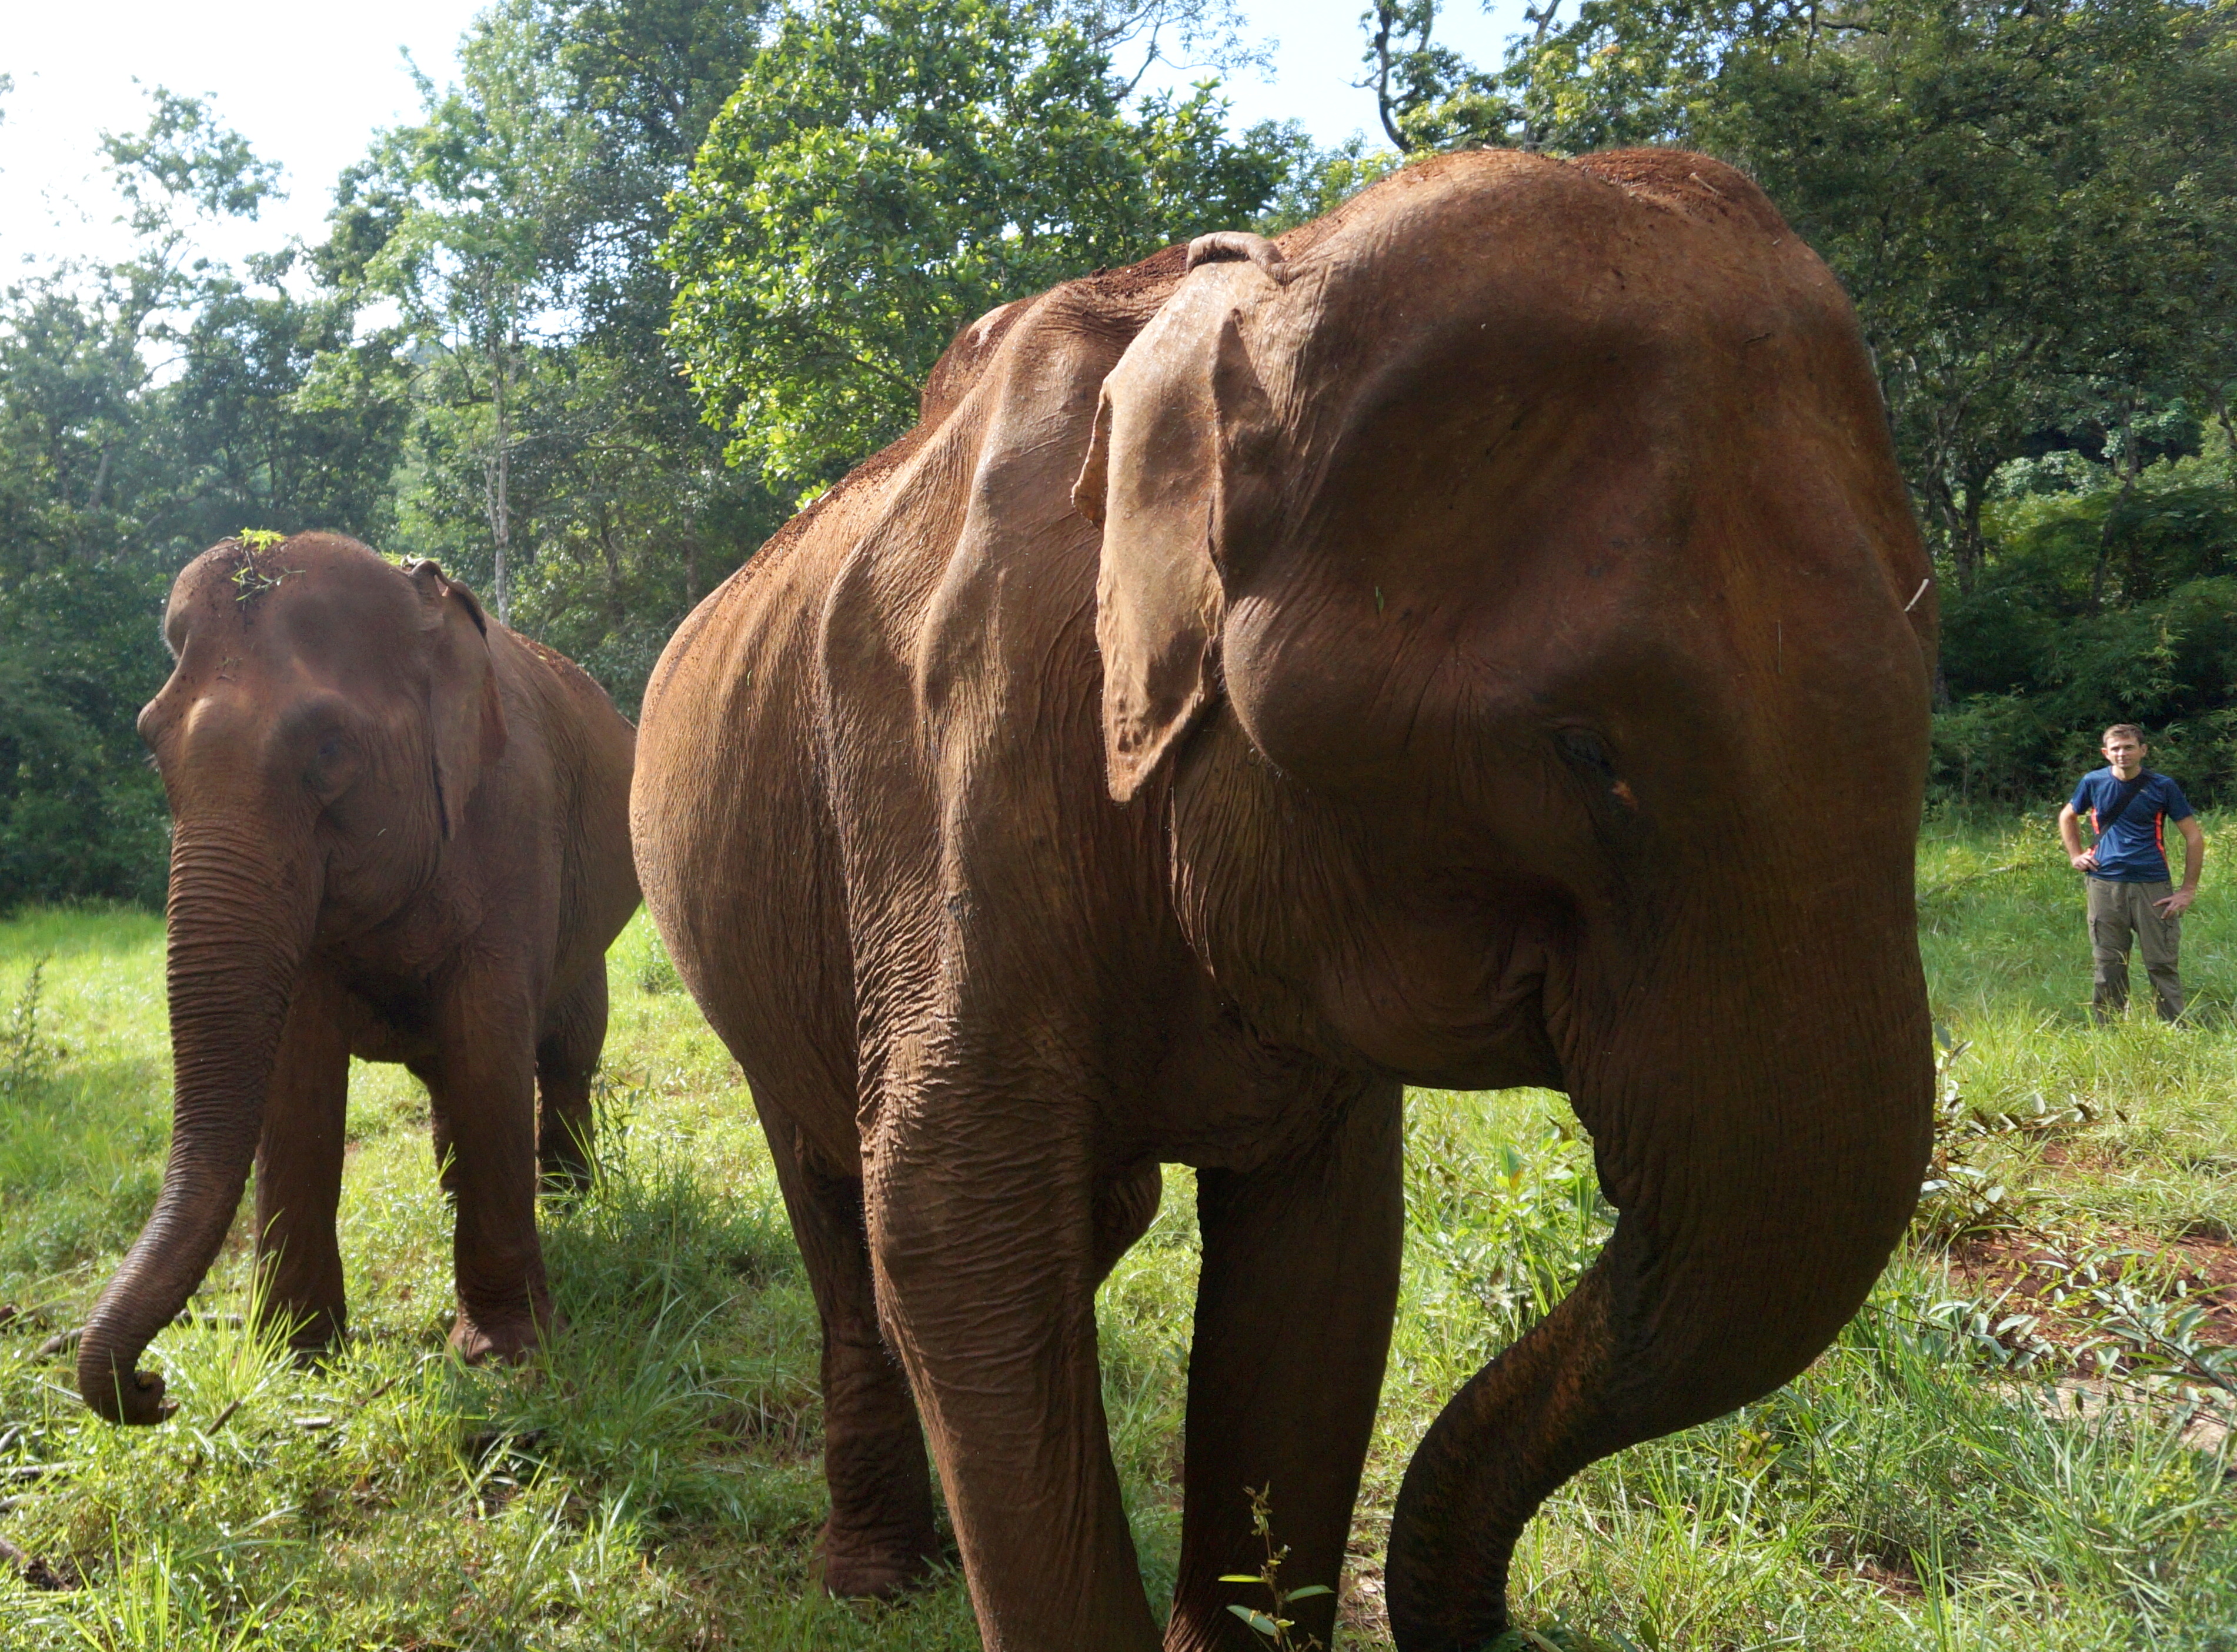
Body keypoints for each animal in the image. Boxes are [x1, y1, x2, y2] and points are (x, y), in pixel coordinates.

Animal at [80, 532, 640, 1426]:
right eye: (150, 743)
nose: (153, 1387)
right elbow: (298, 1076)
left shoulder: (516, 822)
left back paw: (570, 1198)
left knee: (565, 1049)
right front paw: (297, 1359)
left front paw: (505, 1355)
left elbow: (491, 1043)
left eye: (330, 752)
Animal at [630, 148, 1935, 1649]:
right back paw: (871, 1575)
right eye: (1580, 750)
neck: (1241, 288)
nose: (1500, 1623)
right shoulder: (947, 755)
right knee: (839, 1209)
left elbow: (1321, 1273)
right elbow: (957, 1224)